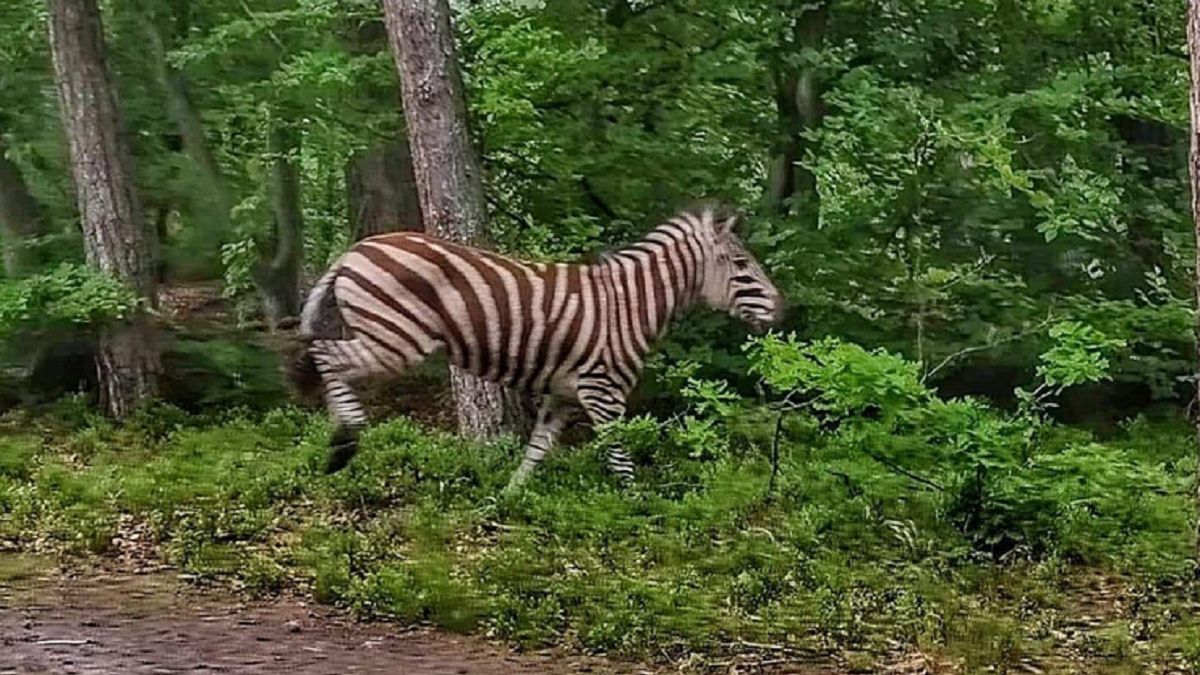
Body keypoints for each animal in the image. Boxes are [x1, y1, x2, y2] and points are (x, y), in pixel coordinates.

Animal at [288, 202, 784, 489]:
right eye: (741, 264)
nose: (784, 309)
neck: (631, 305)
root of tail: (353, 251)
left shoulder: (562, 394)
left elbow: (536, 453)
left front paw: (507, 504)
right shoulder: (603, 391)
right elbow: (619, 458)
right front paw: (635, 512)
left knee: (325, 356)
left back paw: (337, 442)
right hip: (397, 338)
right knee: (327, 357)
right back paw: (344, 441)